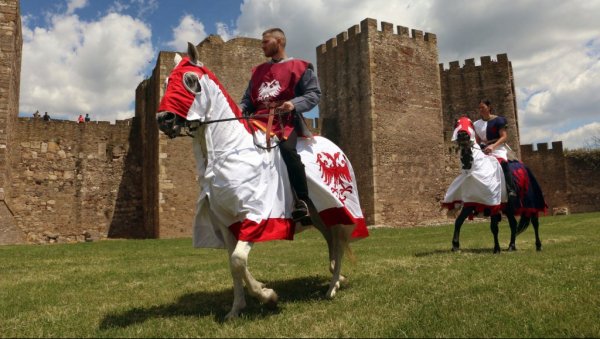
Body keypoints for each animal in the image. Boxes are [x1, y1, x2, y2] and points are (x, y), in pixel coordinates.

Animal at [157, 43, 368, 320]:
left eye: (190, 80)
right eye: (167, 81)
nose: (164, 119)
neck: (229, 152)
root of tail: (336, 150)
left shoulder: (257, 216)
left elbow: (238, 260)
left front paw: (267, 296)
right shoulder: (227, 224)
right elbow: (234, 264)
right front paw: (237, 307)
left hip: (341, 212)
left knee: (340, 245)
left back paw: (332, 288)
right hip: (321, 217)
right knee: (332, 244)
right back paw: (338, 278)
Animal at [442, 118, 548, 254]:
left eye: (470, 123)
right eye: (457, 123)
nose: (462, 135)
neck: (475, 170)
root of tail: (524, 167)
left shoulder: (493, 203)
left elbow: (493, 227)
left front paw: (496, 248)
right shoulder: (470, 202)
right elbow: (458, 221)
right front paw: (455, 245)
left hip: (532, 202)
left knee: (535, 222)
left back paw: (538, 245)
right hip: (508, 207)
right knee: (513, 223)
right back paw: (511, 246)